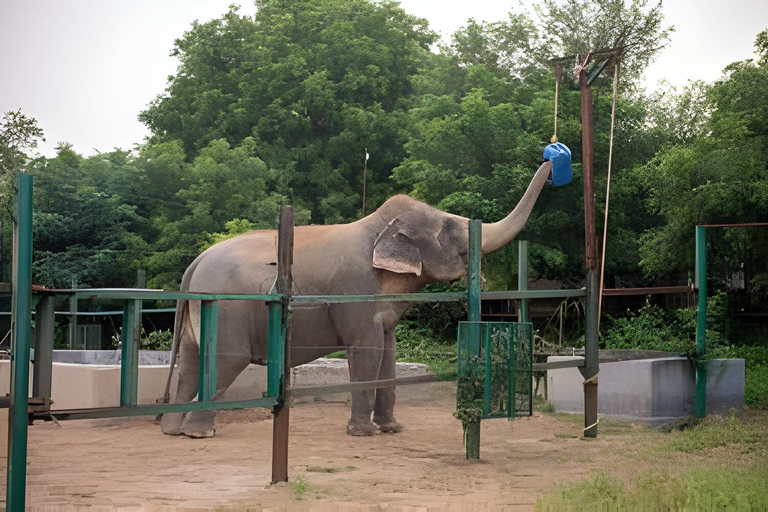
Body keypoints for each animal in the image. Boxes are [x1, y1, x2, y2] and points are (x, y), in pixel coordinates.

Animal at [164, 159, 560, 436]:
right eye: (449, 229)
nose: (553, 158)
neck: (377, 227)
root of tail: (194, 264)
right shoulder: (357, 292)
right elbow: (367, 351)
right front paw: (363, 433)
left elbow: (389, 354)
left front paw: (392, 429)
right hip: (227, 311)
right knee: (223, 364)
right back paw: (199, 433)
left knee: (189, 364)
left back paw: (173, 431)